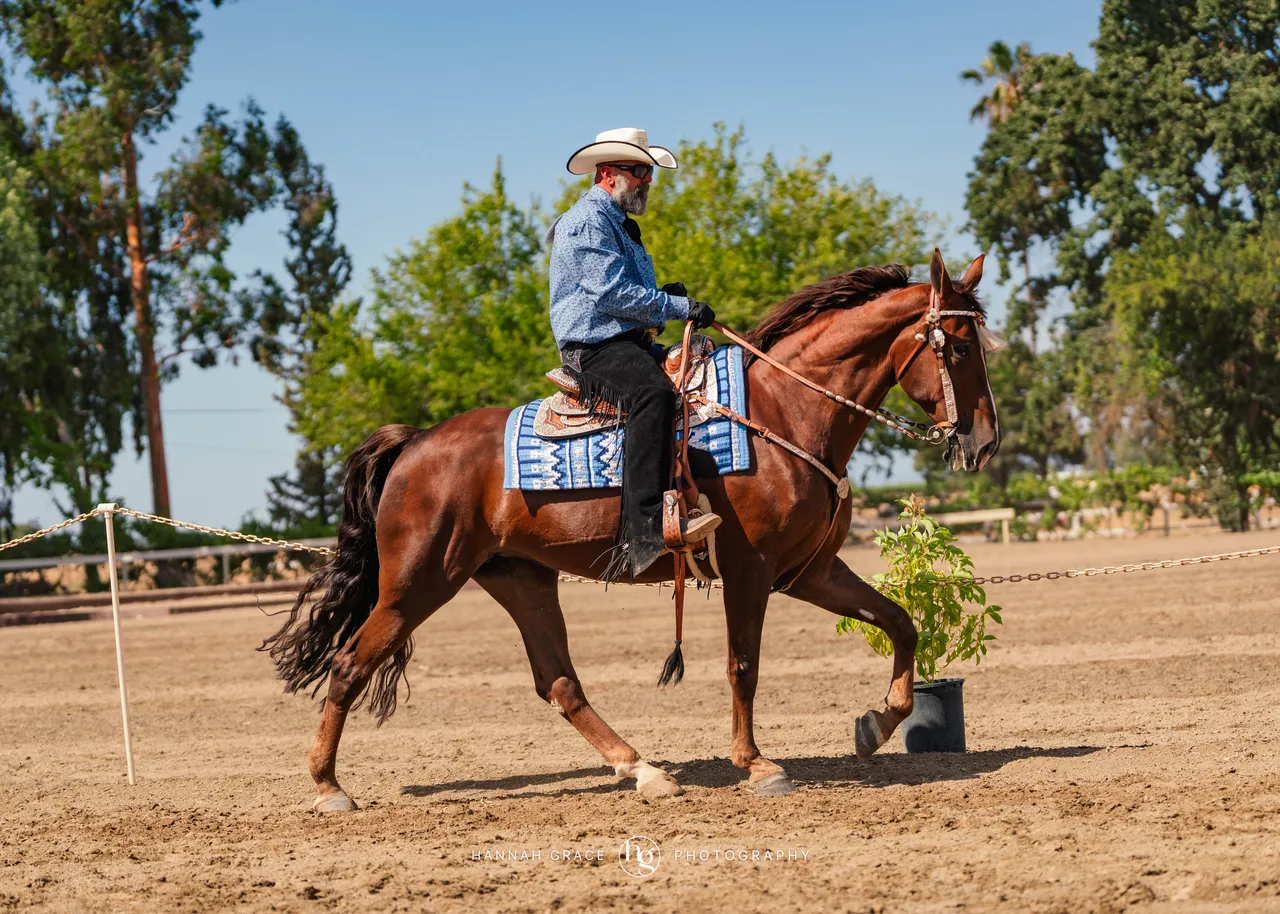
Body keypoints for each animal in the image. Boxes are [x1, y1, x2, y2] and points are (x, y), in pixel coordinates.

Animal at [263, 249, 1000, 810]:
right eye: (960, 346)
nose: (985, 443)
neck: (784, 412)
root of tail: (415, 444)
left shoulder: (808, 570)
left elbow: (901, 622)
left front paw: (878, 723)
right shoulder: (752, 570)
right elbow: (743, 665)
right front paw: (757, 765)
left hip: (521, 579)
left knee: (559, 682)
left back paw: (644, 769)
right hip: (417, 583)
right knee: (350, 662)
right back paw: (328, 787)